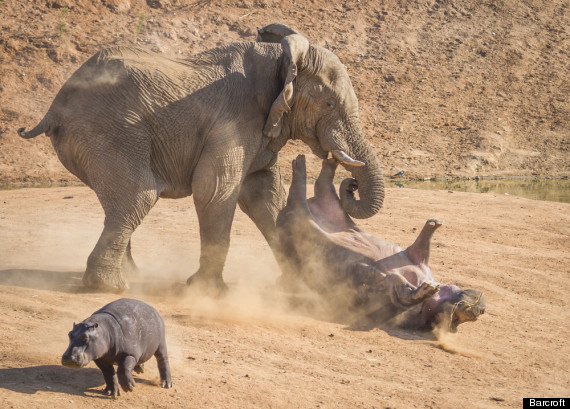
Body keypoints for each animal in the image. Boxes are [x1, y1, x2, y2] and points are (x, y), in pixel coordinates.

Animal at [17, 23, 384, 294]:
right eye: (329, 104)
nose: (347, 179)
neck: (282, 59)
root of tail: (54, 107)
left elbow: (265, 195)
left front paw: (298, 284)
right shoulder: (234, 118)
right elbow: (215, 189)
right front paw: (210, 291)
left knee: (121, 202)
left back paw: (130, 277)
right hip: (108, 132)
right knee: (138, 196)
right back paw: (110, 287)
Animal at [276, 156, 484, 332]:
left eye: (458, 319)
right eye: (464, 316)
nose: (480, 309)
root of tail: (282, 214)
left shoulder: (376, 281)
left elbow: (397, 286)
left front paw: (427, 288)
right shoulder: (413, 255)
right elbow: (420, 247)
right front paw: (434, 223)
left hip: (300, 217)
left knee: (305, 190)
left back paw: (301, 163)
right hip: (313, 208)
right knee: (320, 183)